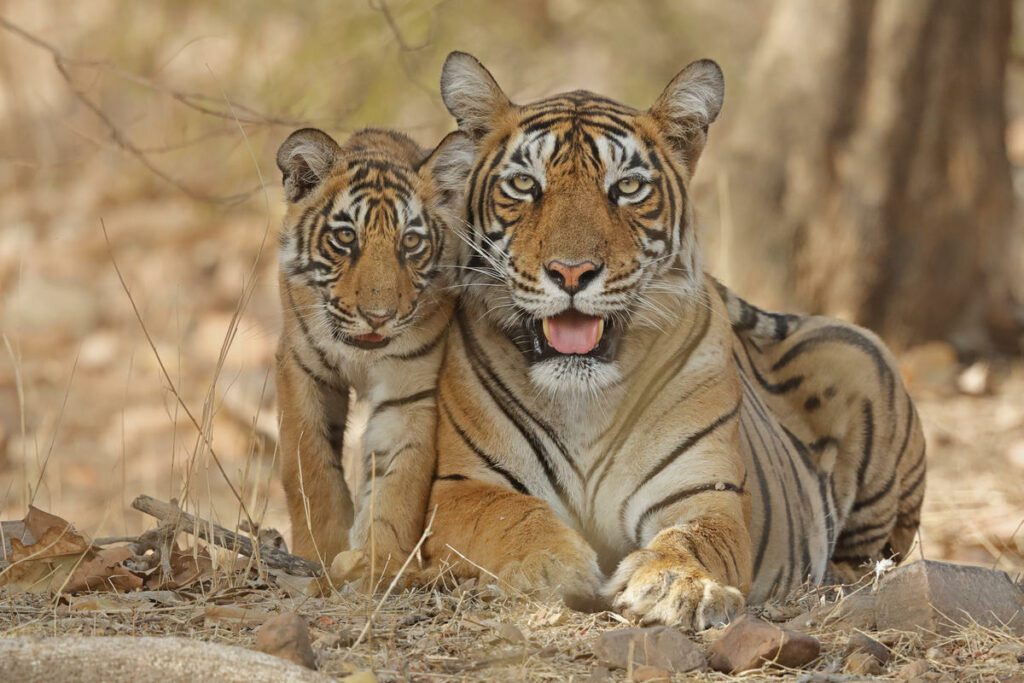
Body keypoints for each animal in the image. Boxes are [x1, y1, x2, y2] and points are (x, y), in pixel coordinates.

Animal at [276, 125, 475, 569]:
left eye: (411, 242)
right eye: (345, 237)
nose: (378, 315)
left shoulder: (410, 391)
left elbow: (398, 483)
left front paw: (379, 561)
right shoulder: (304, 372)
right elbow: (310, 469)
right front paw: (321, 552)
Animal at [419, 53, 925, 630]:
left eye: (627, 188)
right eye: (525, 184)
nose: (571, 272)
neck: (583, 400)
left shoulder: (705, 493)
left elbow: (693, 538)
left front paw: (674, 584)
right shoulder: (461, 487)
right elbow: (509, 516)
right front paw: (551, 566)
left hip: (857, 350)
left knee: (872, 556)